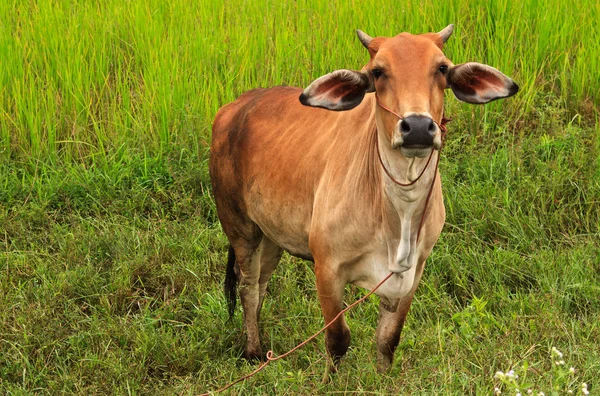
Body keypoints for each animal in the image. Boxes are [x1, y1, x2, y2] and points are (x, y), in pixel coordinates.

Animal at [209, 25, 516, 374]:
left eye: (441, 68)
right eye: (378, 71)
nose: (418, 127)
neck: (398, 212)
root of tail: (235, 105)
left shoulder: (413, 272)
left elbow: (388, 339)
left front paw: (383, 378)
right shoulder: (327, 269)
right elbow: (337, 340)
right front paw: (331, 379)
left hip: (271, 235)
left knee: (261, 284)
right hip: (240, 227)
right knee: (247, 286)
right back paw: (253, 351)